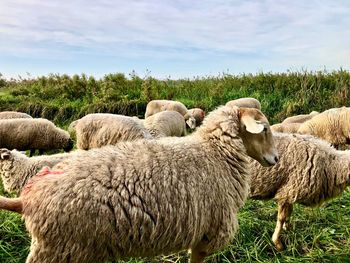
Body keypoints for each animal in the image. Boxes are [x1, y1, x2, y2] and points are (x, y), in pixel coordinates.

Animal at [0, 105, 278, 263]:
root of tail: (28, 197)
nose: (276, 159)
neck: (216, 154)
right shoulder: (208, 235)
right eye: (264, 129)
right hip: (60, 249)